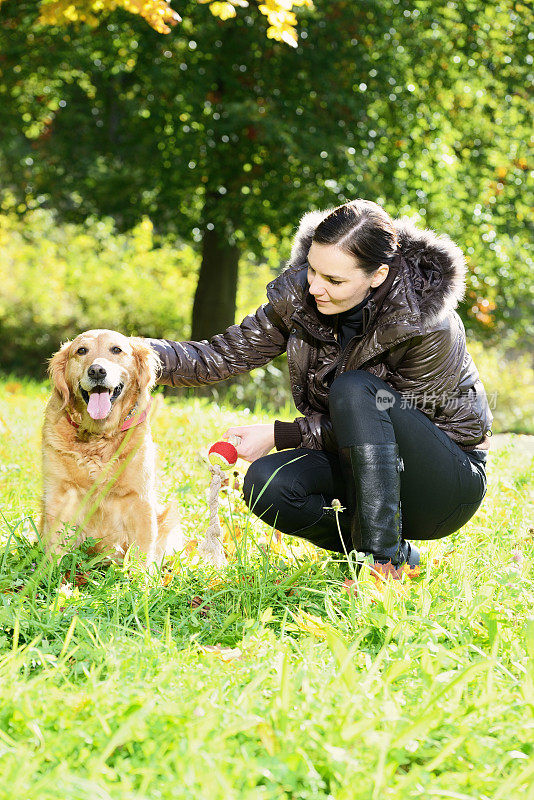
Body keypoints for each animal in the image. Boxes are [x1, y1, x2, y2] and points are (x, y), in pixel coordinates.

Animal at [40, 328, 183, 564]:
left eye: (116, 349)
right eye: (81, 351)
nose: (97, 371)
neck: (99, 436)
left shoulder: (139, 498)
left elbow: (142, 552)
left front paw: (141, 574)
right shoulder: (59, 494)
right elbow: (54, 550)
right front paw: (46, 572)